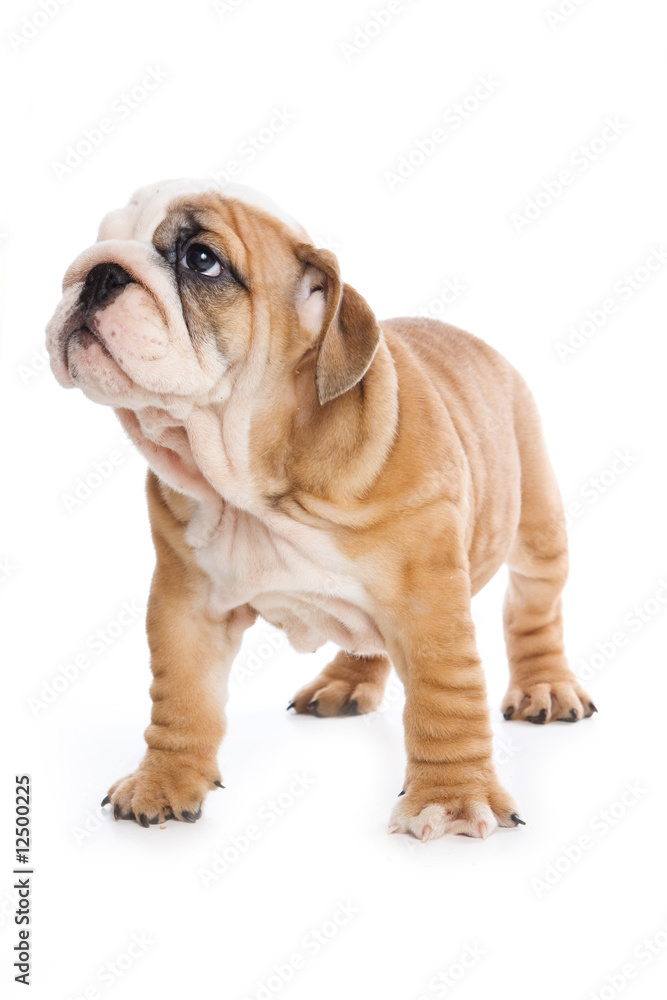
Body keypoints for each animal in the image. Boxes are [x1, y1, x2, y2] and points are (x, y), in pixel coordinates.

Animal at [47, 178, 600, 836]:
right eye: (101, 239)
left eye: (200, 260)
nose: (98, 271)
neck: (250, 483)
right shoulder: (186, 602)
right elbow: (181, 695)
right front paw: (164, 780)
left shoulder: (428, 598)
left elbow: (445, 697)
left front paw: (451, 799)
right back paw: (345, 683)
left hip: (537, 523)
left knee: (535, 610)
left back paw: (546, 687)